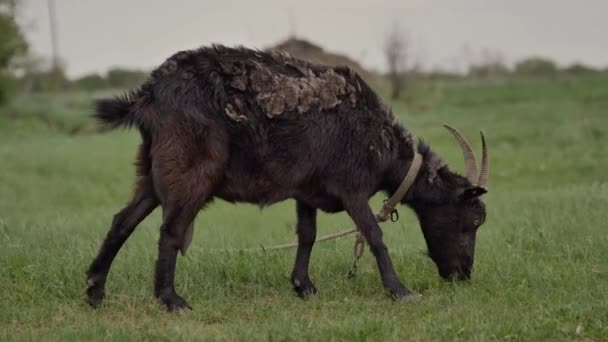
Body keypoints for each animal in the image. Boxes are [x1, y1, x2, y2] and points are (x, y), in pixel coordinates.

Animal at [86, 44, 490, 310]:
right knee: (170, 231)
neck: (379, 137)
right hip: (189, 172)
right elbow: (374, 235)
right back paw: (171, 301)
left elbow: (307, 235)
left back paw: (95, 292)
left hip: (153, 171)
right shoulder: (352, 187)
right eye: (473, 220)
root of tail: (149, 94)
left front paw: (304, 287)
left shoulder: (307, 191)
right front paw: (400, 291)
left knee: (123, 221)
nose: (464, 275)